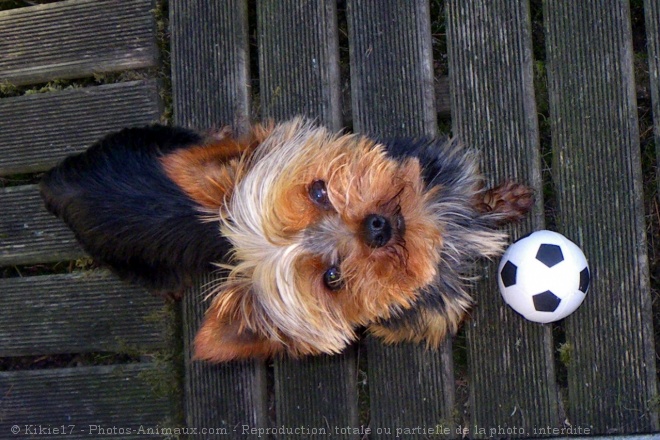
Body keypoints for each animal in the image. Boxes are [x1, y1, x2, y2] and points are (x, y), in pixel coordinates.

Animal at [41, 117, 532, 360]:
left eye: (318, 191)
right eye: (332, 279)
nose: (377, 227)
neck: (434, 224)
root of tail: (56, 183)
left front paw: (502, 199)